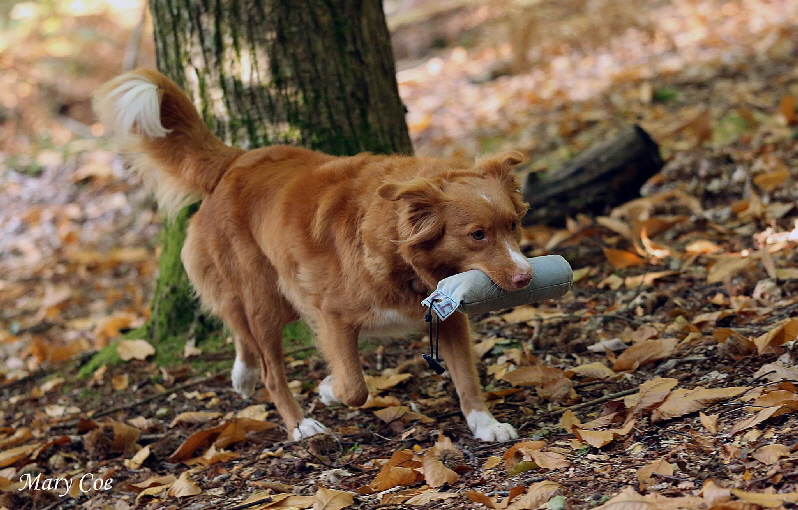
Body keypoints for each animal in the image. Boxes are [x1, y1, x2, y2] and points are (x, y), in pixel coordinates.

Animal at [97, 69, 536, 440]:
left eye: (514, 224)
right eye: (477, 235)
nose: (526, 278)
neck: (394, 248)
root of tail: (236, 161)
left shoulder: (447, 313)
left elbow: (466, 375)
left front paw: (485, 422)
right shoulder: (331, 315)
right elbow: (354, 387)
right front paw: (327, 389)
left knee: (236, 323)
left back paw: (243, 372)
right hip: (266, 297)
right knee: (268, 365)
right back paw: (298, 424)